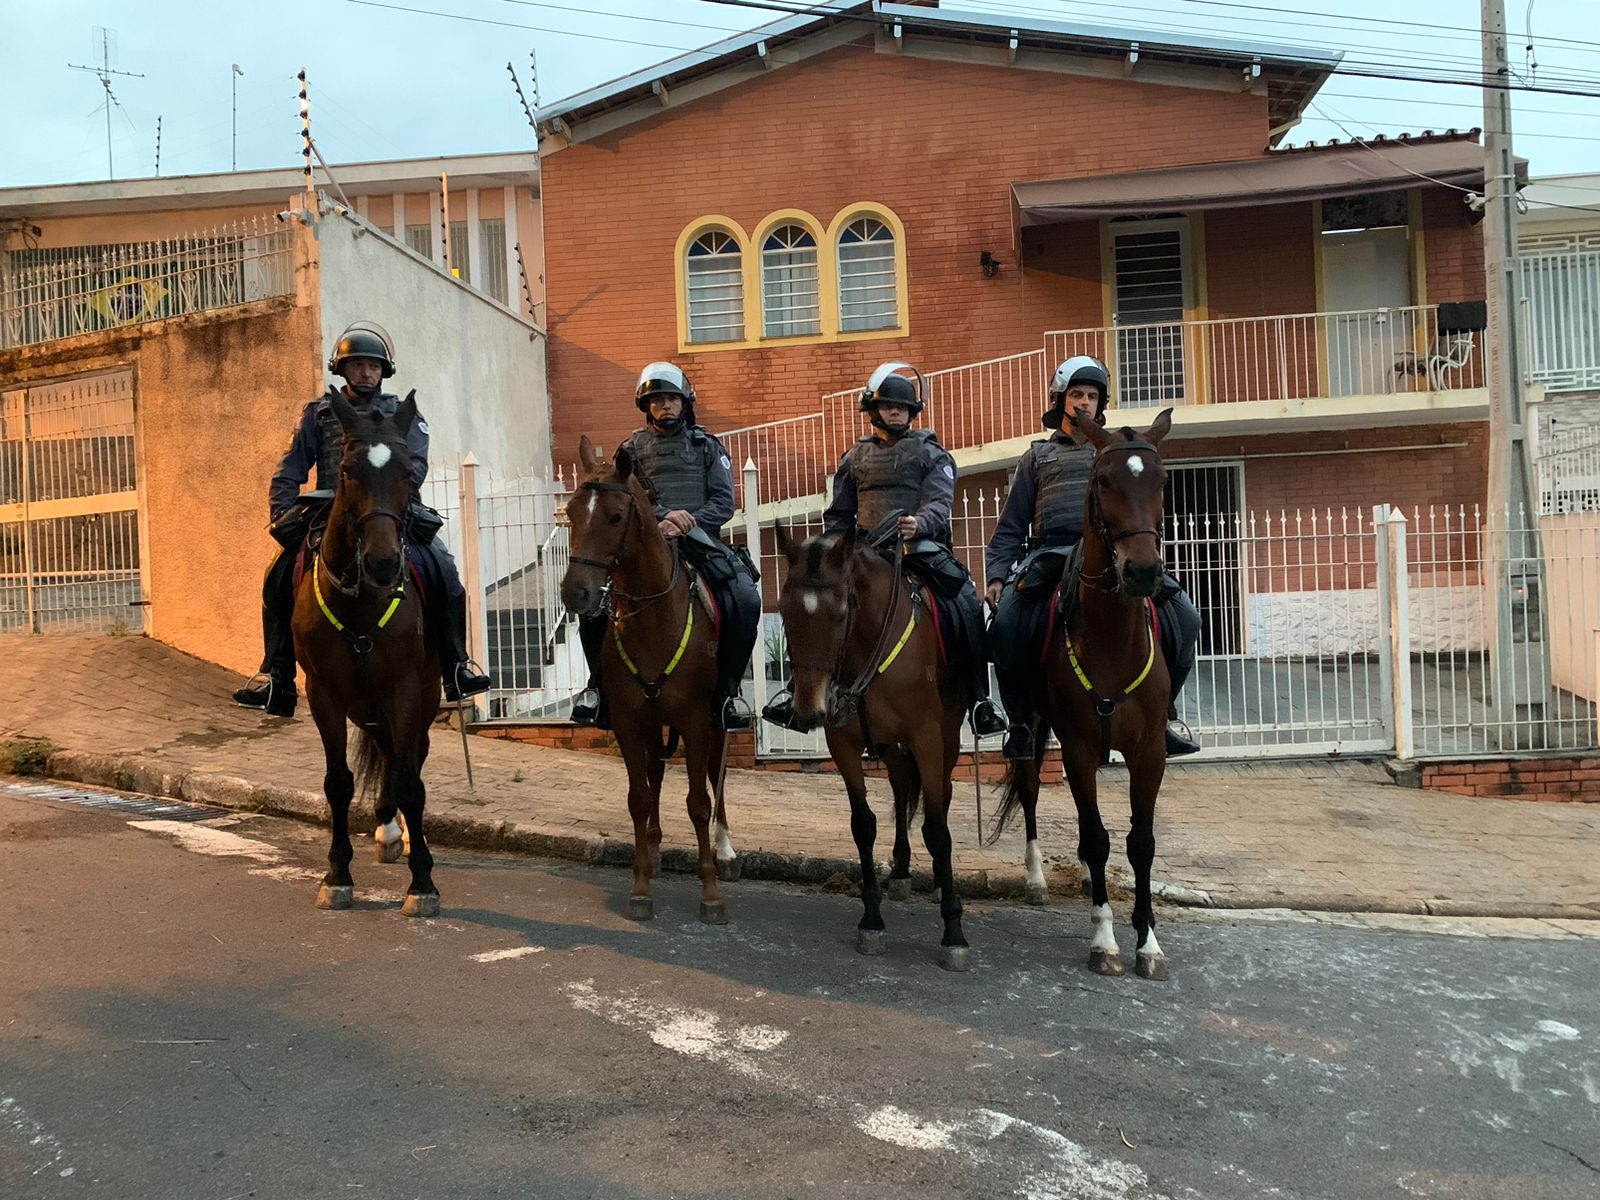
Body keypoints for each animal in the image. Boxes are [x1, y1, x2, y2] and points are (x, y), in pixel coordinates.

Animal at [292, 395, 444, 921]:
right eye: (348, 470)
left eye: (408, 471)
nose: (381, 564)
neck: (362, 601)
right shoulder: (324, 694)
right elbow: (338, 783)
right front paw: (337, 876)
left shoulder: (404, 689)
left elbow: (412, 784)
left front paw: (423, 883)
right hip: (367, 705)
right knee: (388, 754)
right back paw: (387, 829)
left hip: (418, 698)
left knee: (407, 758)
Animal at [560, 438, 739, 928]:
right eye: (571, 512)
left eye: (616, 517)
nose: (575, 594)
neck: (654, 617)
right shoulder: (627, 718)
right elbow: (639, 797)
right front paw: (640, 886)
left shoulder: (696, 721)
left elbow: (698, 801)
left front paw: (710, 892)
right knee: (656, 771)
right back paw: (656, 849)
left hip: (716, 721)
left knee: (716, 776)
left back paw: (725, 850)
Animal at [771, 524, 966, 979]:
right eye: (785, 611)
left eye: (841, 614)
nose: (809, 710)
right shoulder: (843, 743)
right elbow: (864, 824)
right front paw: (872, 920)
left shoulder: (928, 738)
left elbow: (938, 831)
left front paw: (953, 932)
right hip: (893, 749)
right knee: (900, 789)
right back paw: (901, 871)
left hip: (947, 738)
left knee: (941, 796)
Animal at [985, 409, 1177, 979]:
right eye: (1104, 481)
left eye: (1162, 481)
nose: (1142, 572)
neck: (1112, 639)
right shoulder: (1078, 747)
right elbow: (1096, 836)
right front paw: (1105, 939)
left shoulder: (1149, 752)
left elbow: (1140, 843)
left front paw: (1148, 942)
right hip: (1031, 727)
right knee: (1029, 789)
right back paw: (1036, 880)